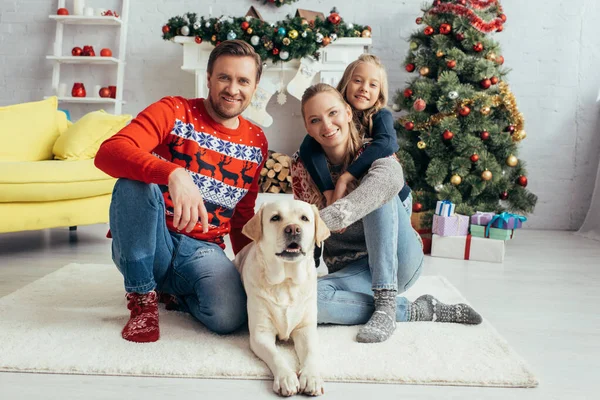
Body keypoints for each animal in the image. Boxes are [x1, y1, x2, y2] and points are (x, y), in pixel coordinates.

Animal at [234, 200, 330, 396]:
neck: (286, 282)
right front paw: (286, 378)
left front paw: (311, 377)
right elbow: (276, 355)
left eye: (304, 218)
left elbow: (311, 353)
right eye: (275, 218)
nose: (293, 229)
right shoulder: (260, 333)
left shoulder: (306, 329)